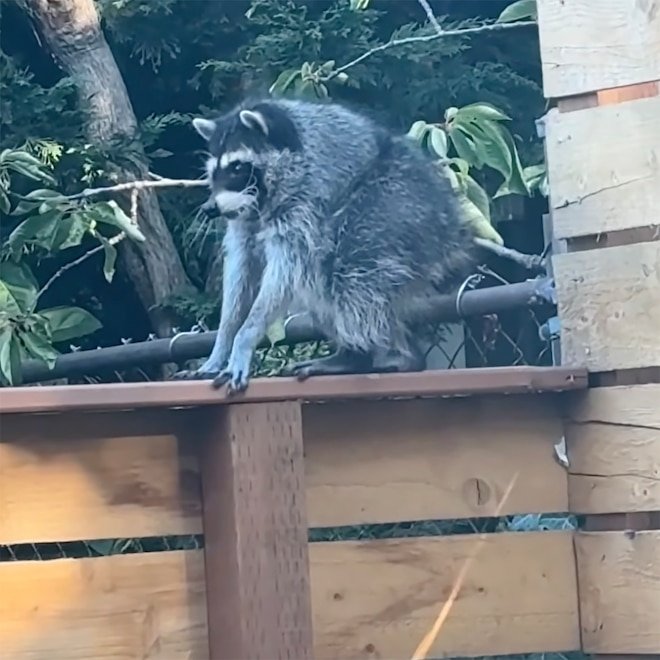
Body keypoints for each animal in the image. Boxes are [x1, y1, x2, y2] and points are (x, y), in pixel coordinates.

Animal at [174, 97, 477, 392]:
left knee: (351, 275)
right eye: (212, 172)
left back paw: (365, 356)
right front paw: (222, 344)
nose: (209, 209)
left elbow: (283, 272)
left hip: (396, 206)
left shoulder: (305, 201)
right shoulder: (245, 219)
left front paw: (245, 338)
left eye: (237, 168)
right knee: (323, 279)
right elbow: (241, 271)